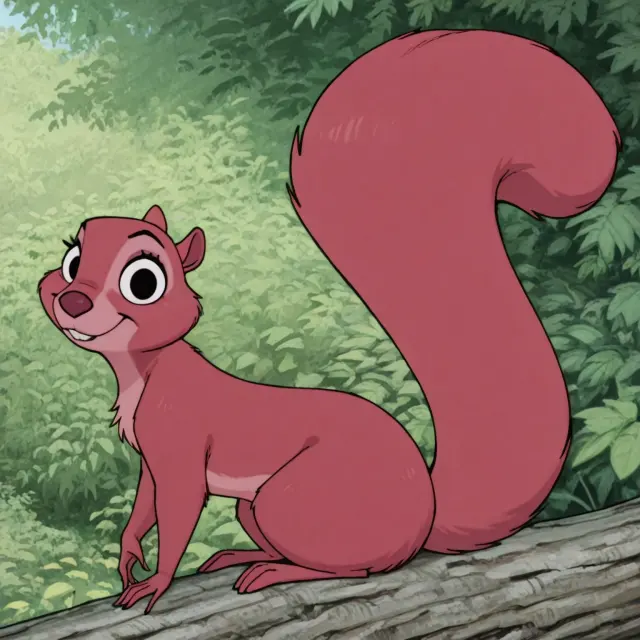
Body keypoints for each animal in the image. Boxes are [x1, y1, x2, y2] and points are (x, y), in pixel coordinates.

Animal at [38, 29, 619, 613]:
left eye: (145, 281)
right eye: (71, 258)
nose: (72, 301)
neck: (142, 371)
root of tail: (424, 519)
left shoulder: (179, 446)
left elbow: (178, 515)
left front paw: (157, 581)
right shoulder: (151, 459)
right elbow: (144, 507)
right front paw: (128, 555)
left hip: (292, 498)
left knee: (354, 568)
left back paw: (275, 570)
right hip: (257, 506)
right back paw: (245, 555)